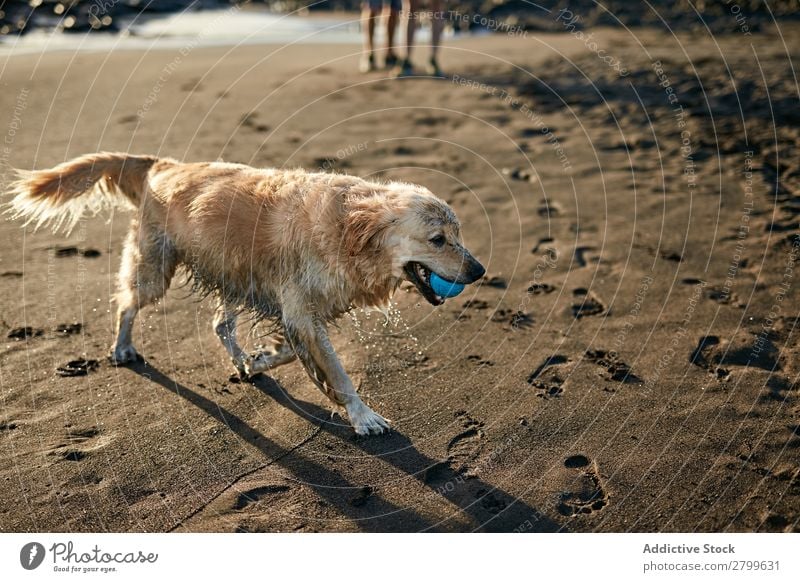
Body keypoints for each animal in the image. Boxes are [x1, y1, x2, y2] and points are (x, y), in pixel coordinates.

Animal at [6, 153, 484, 436]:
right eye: (438, 239)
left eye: (459, 233)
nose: (479, 271)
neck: (349, 230)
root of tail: (163, 164)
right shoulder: (298, 308)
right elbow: (338, 372)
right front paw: (363, 415)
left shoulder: (296, 308)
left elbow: (291, 350)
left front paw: (260, 359)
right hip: (155, 268)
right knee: (128, 304)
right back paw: (122, 348)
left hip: (235, 275)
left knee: (220, 325)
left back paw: (241, 364)